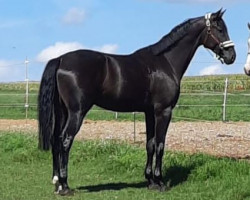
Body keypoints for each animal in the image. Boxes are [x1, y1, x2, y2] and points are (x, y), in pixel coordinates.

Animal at [38, 9, 235, 195]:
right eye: (220, 29)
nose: (231, 56)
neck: (165, 62)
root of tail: (61, 59)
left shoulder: (149, 113)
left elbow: (150, 144)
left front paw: (150, 181)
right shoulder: (163, 111)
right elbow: (160, 145)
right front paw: (160, 182)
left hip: (63, 112)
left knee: (56, 140)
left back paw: (57, 183)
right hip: (77, 112)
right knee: (65, 141)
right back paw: (65, 186)